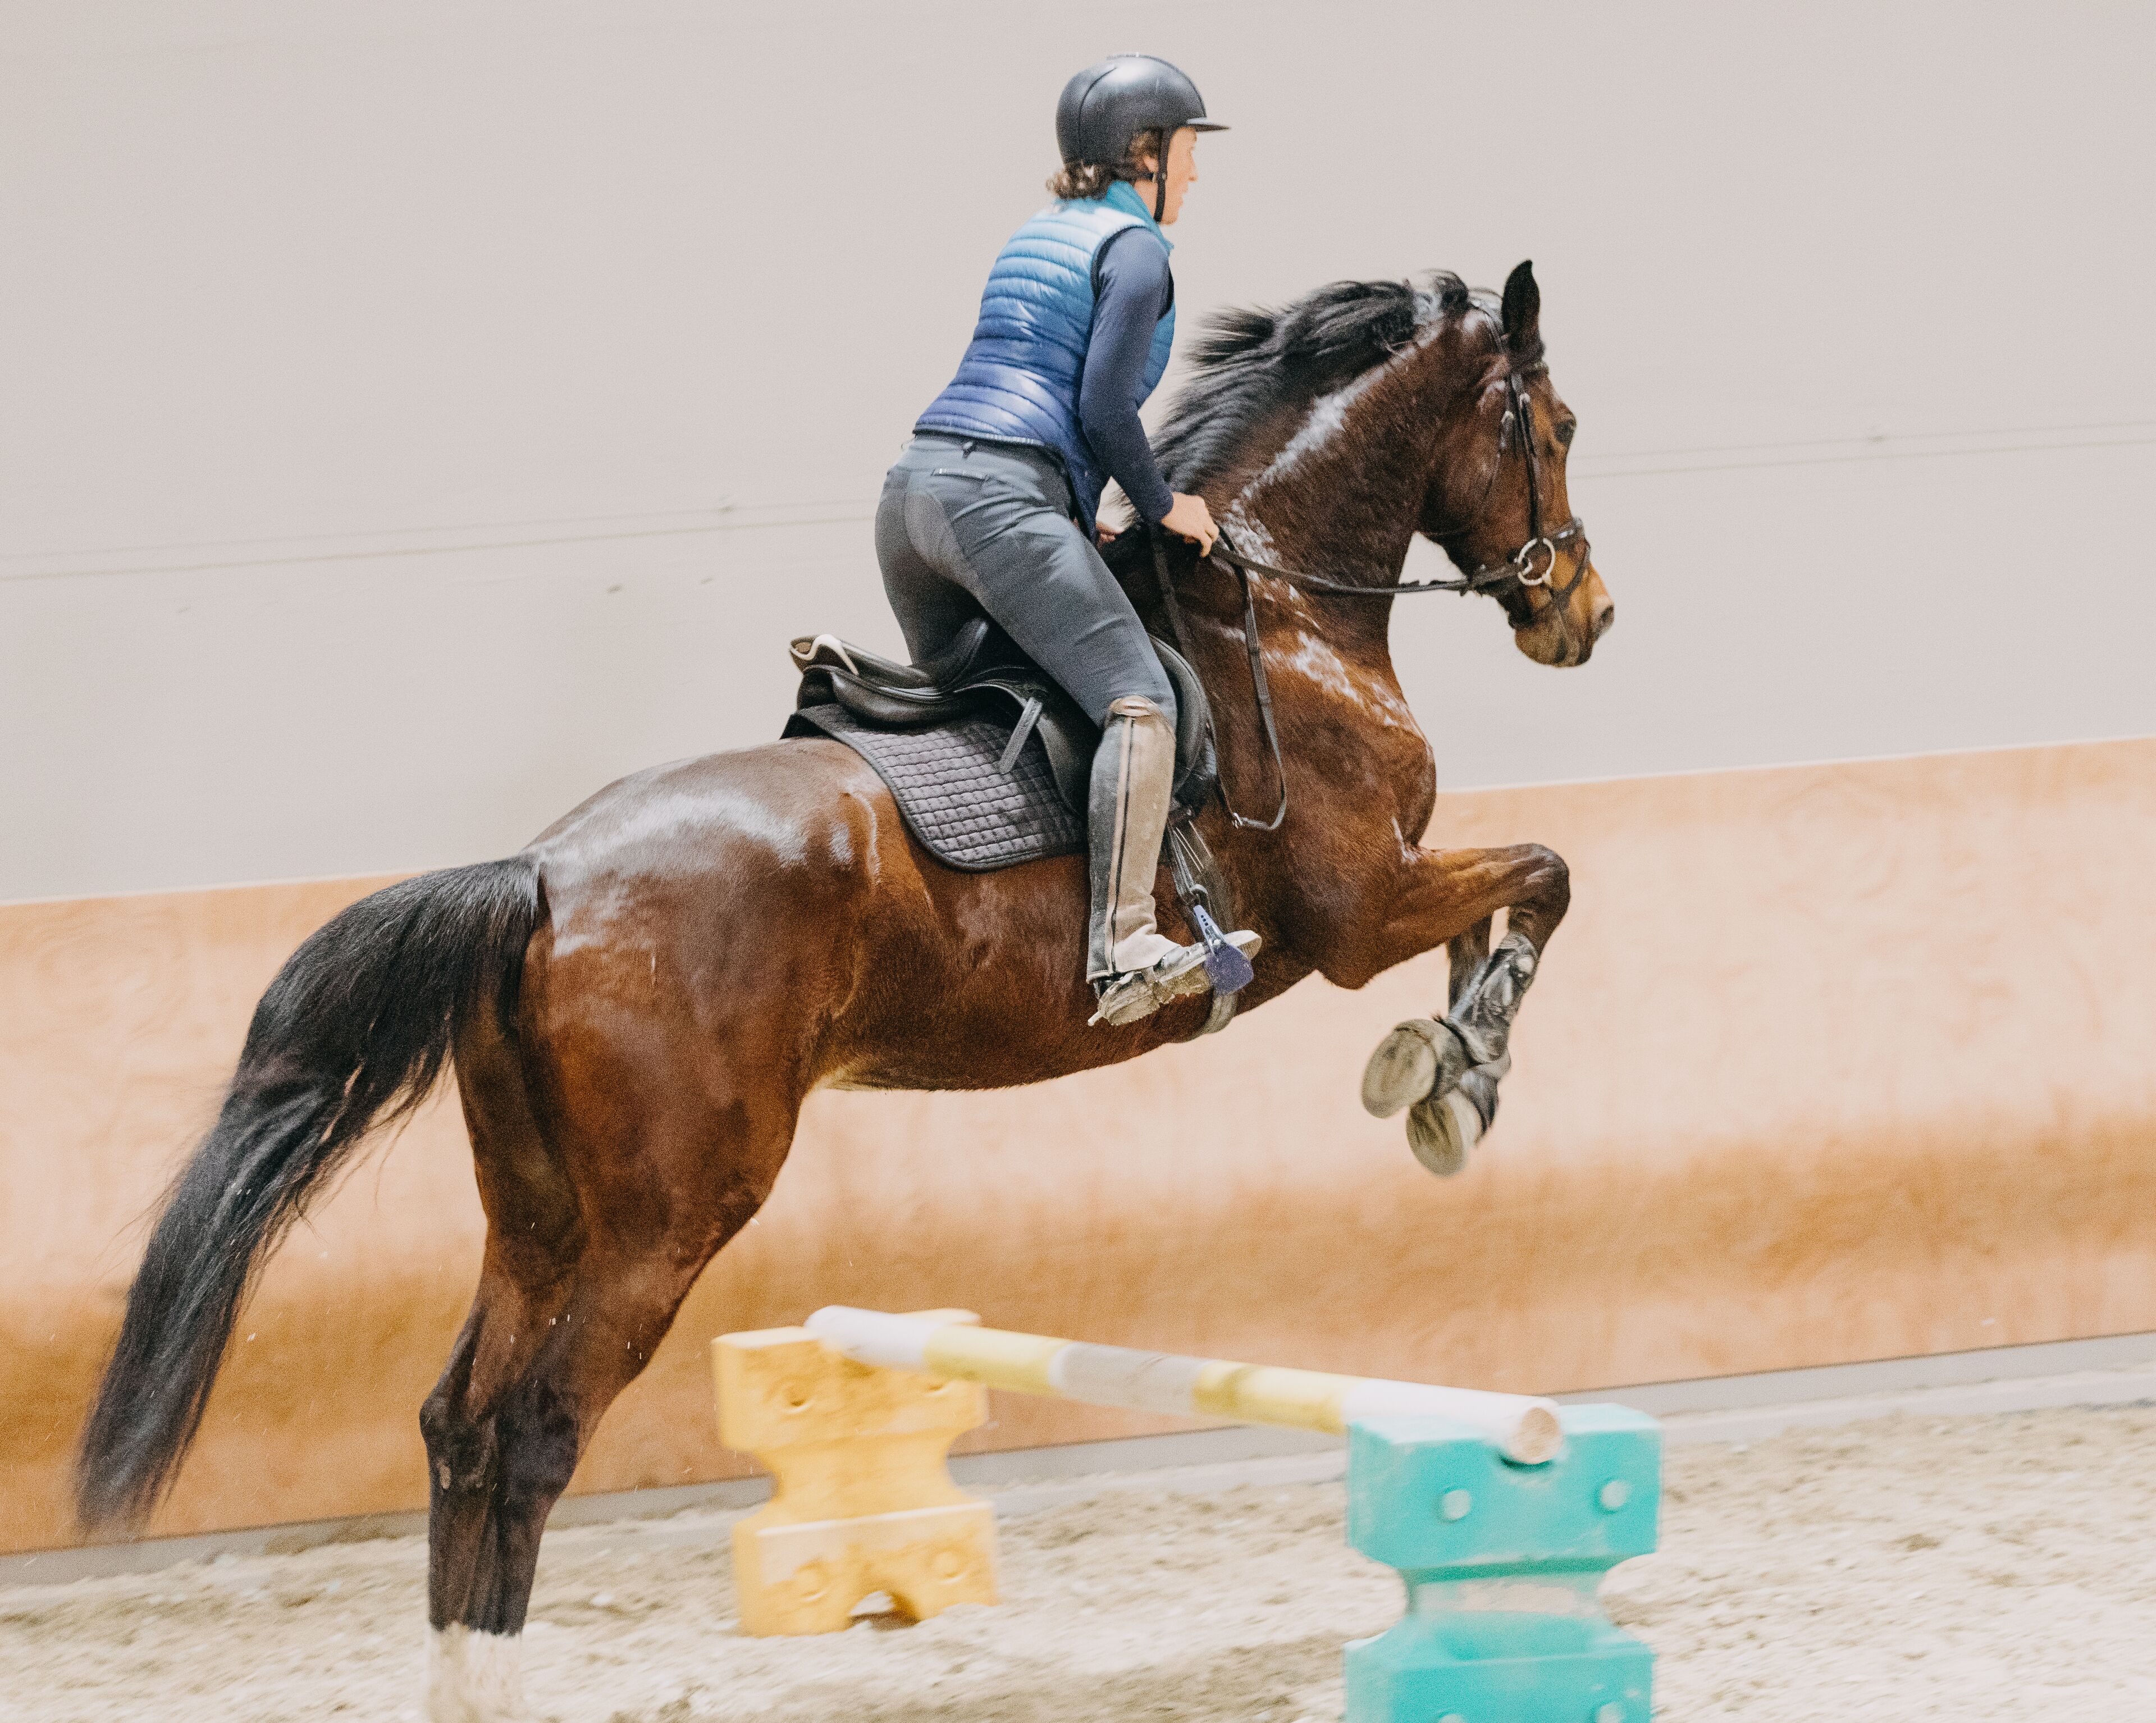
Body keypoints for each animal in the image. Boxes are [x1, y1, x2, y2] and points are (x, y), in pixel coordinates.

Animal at [76, 259, 1611, 1721]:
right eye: (1555, 429)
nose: (1583, 614)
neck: (1280, 608)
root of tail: (543, 873)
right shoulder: (1360, 906)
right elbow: (1541, 874)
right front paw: (1455, 1071)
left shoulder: (1387, 895)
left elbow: (1509, 903)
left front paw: (1443, 1070)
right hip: (666, 1220)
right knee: (529, 1434)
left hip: (538, 1212)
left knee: (459, 1422)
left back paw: (465, 1681)